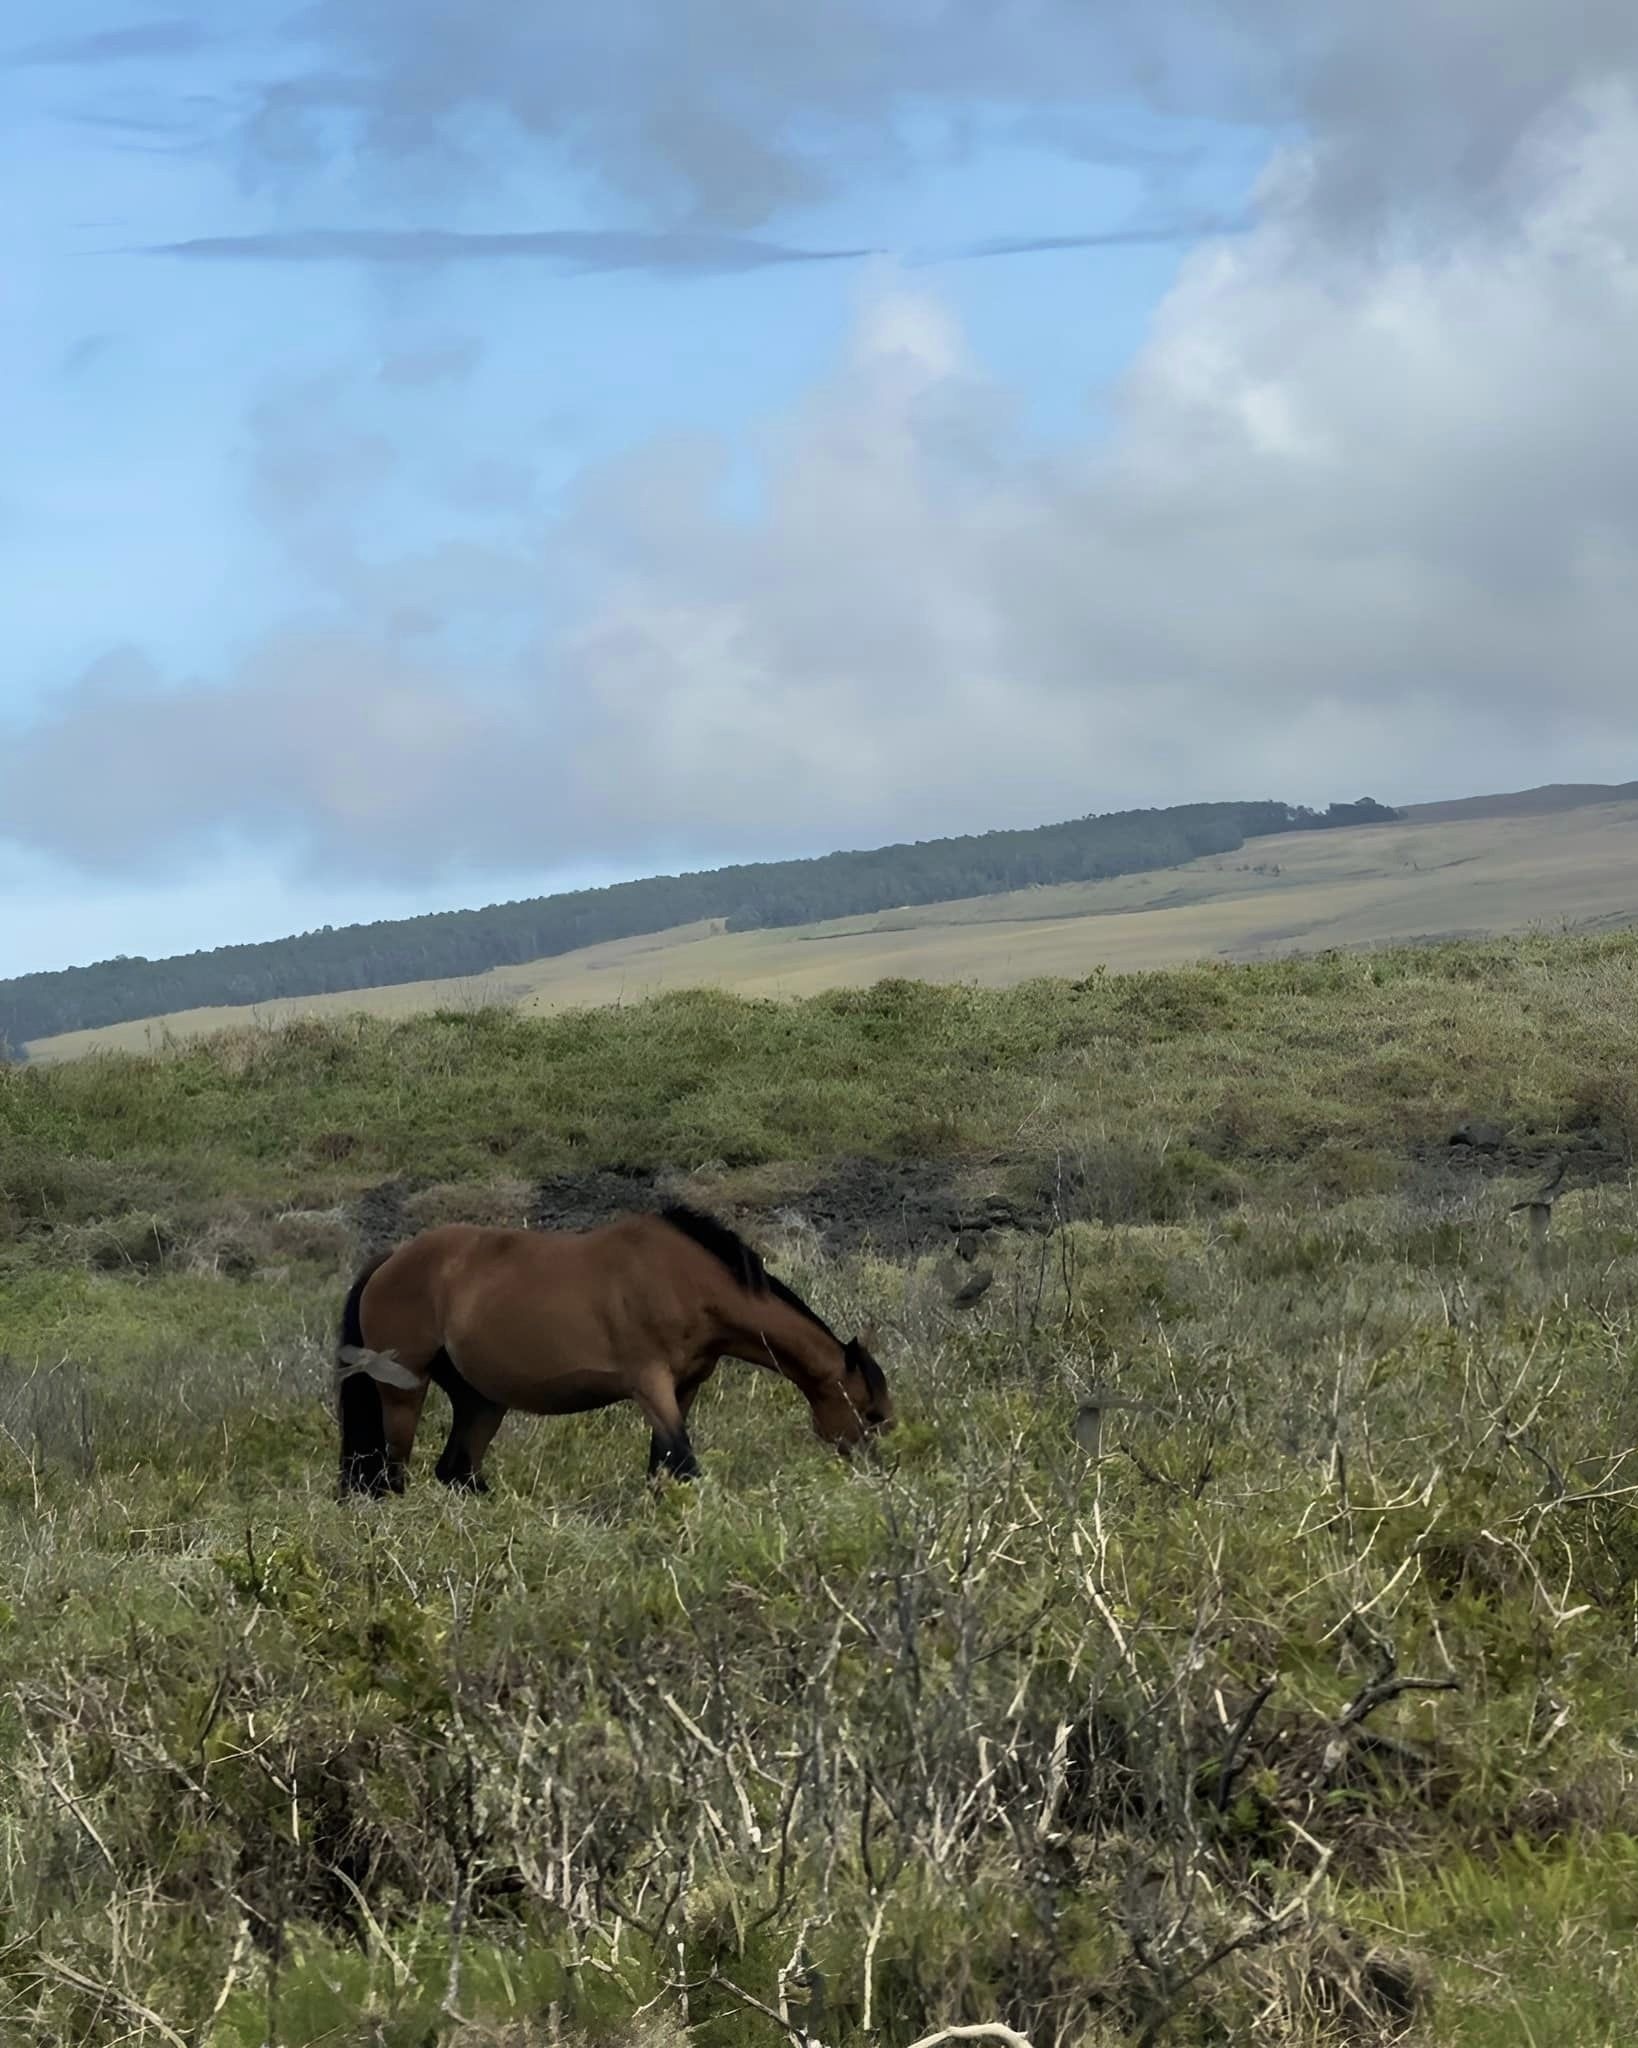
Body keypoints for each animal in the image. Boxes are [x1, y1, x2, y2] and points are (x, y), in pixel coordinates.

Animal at [333, 1204, 896, 1499]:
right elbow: (684, 1462)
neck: (687, 1280)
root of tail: (388, 1261)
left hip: (480, 1399)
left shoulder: (685, 1387)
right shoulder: (650, 1384)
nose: (873, 1474)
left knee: (458, 1472)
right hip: (403, 1390)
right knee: (392, 1475)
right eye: (869, 1412)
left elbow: (662, 1466)